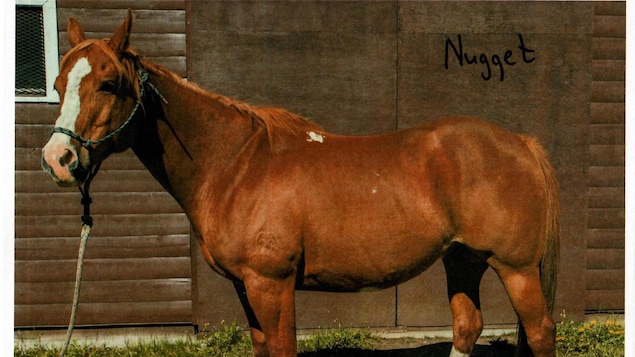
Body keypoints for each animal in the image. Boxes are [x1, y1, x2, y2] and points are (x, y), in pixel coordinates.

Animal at [39, 11, 560, 356]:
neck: (235, 164)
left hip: (515, 268)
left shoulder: (272, 285)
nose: (58, 160)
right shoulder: (246, 288)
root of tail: (521, 143)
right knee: (467, 326)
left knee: (539, 331)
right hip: (463, 258)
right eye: (59, 85)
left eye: (108, 84)